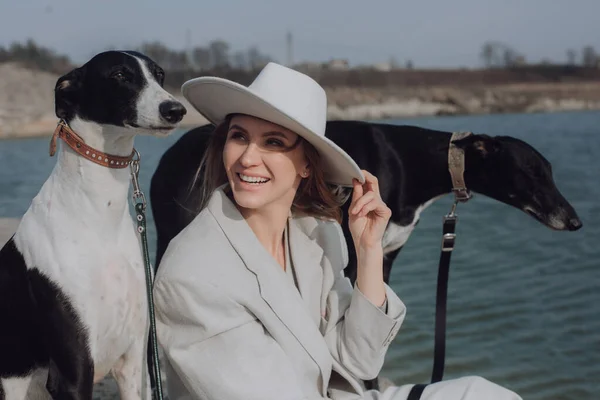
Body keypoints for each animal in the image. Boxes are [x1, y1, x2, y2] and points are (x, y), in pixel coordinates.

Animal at [0, 51, 185, 398]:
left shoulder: (133, 362)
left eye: (160, 75)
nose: (175, 109)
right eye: (119, 75)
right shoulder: (72, 372)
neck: (99, 219)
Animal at [149, 122, 580, 284]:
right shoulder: (353, 258)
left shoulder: (385, 257)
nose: (575, 221)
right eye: (532, 173)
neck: (411, 160)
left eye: (551, 171)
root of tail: (163, 160)